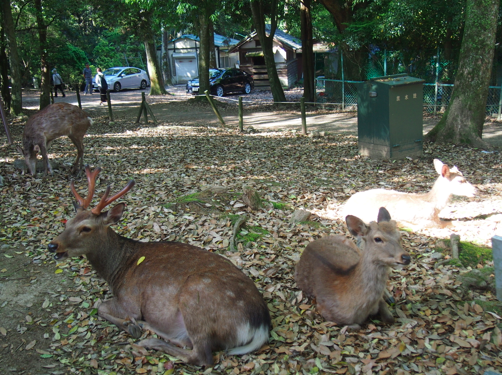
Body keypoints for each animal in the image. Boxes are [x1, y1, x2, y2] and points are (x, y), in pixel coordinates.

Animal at [48, 167, 270, 368]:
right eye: (67, 222)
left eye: (86, 228)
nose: (53, 245)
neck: (116, 271)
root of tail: (260, 326)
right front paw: (132, 325)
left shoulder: (129, 300)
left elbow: (100, 307)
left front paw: (129, 325)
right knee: (186, 342)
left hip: (196, 296)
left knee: (201, 357)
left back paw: (148, 339)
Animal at [340, 159, 476, 228]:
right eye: (460, 180)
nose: (475, 191)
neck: (435, 207)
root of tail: (347, 204)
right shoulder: (427, 221)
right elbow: (449, 223)